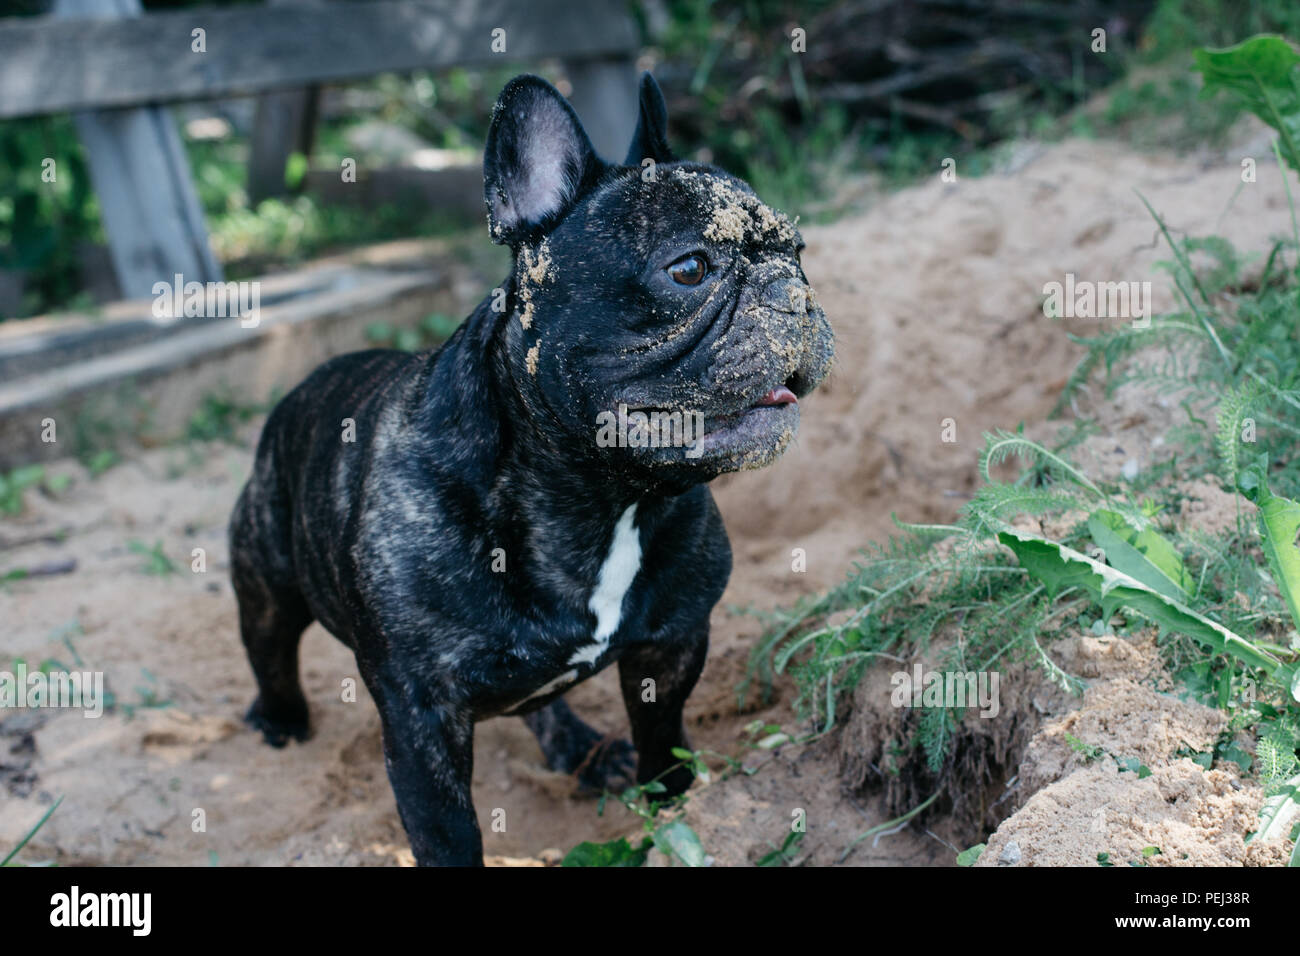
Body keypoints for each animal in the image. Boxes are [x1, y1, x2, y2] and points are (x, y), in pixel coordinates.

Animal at [228, 72, 837, 868]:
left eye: (798, 253)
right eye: (689, 268)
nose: (790, 291)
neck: (604, 498)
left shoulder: (672, 644)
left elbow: (665, 748)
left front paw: (684, 816)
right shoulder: (422, 717)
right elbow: (449, 837)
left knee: (541, 702)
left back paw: (578, 747)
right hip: (263, 570)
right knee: (268, 645)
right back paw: (278, 718)